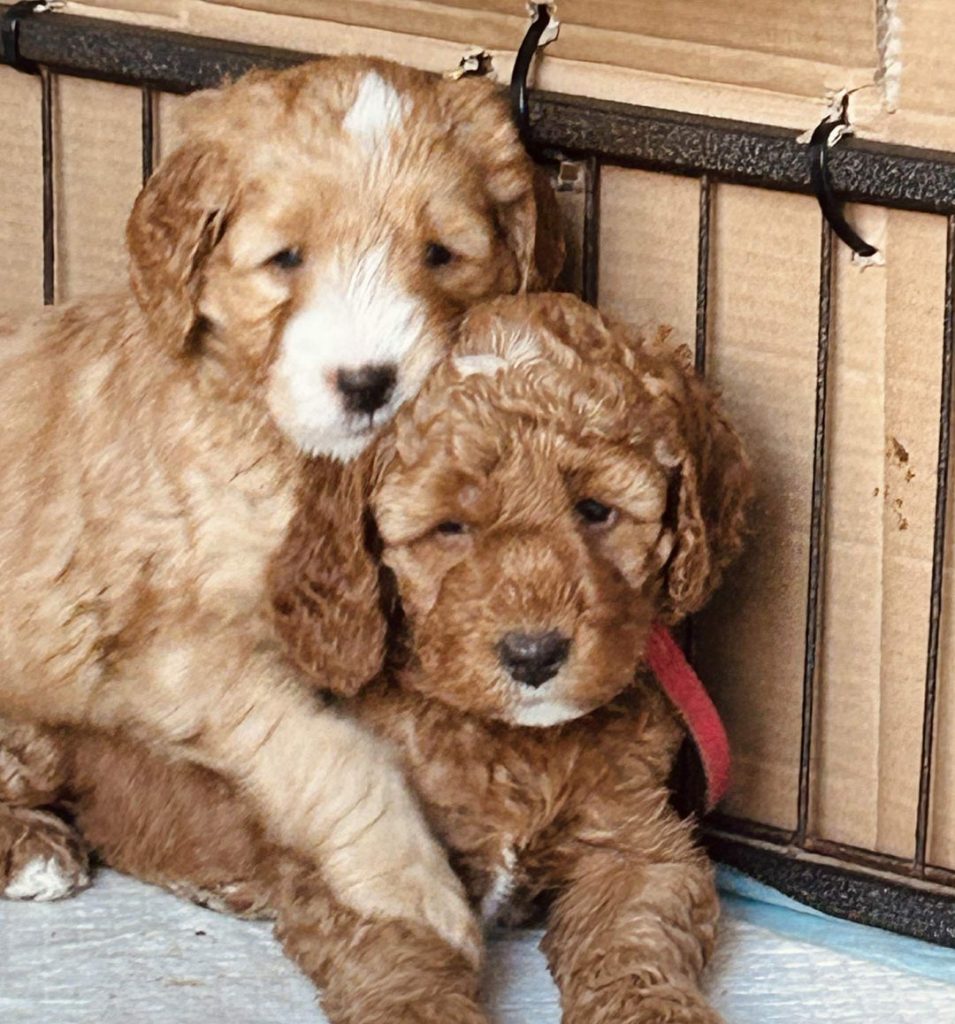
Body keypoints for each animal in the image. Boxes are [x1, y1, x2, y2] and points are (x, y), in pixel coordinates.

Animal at [0, 56, 563, 963]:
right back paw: (34, 851)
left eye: (440, 255)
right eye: (284, 259)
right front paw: (413, 894)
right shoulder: (181, 653)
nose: (368, 382)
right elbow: (334, 755)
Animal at [7, 294, 750, 1023]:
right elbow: (403, 957)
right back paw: (36, 850)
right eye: (449, 528)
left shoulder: (638, 841)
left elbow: (636, 937)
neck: (509, 741)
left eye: (595, 509)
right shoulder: (365, 869)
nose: (533, 654)